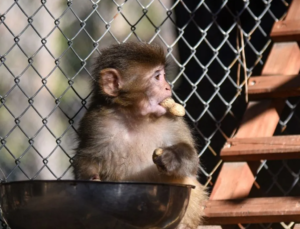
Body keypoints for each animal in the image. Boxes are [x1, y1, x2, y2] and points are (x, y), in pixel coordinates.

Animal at [74, 42, 207, 228]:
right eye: (157, 77)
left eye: (163, 75)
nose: (168, 87)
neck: (136, 118)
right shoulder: (96, 121)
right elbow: (87, 156)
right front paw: (90, 178)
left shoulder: (173, 119)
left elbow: (192, 161)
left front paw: (172, 157)